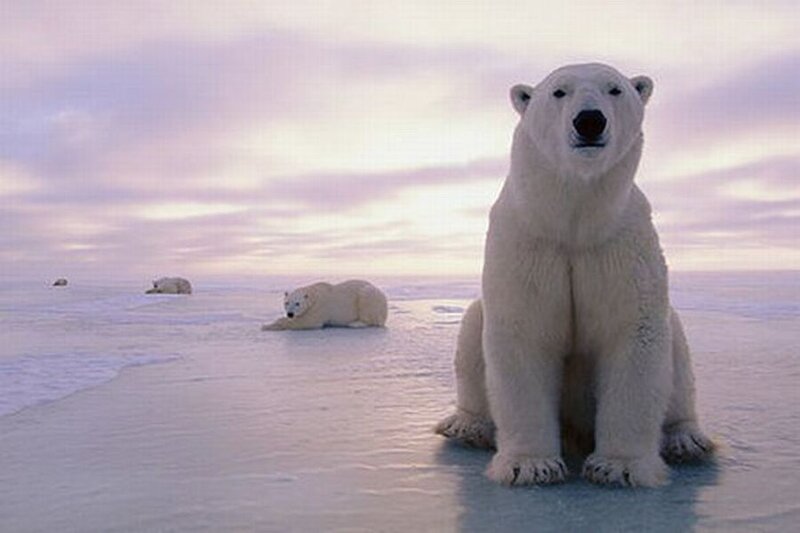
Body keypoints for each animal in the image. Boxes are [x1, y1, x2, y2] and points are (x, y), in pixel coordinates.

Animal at [435, 63, 714, 488]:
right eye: (559, 91)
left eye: (615, 89)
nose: (590, 120)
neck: (574, 224)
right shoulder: (529, 245)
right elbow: (523, 334)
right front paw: (531, 466)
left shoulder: (618, 247)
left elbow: (632, 332)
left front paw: (617, 467)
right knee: (471, 326)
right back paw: (467, 427)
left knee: (676, 345)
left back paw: (687, 440)